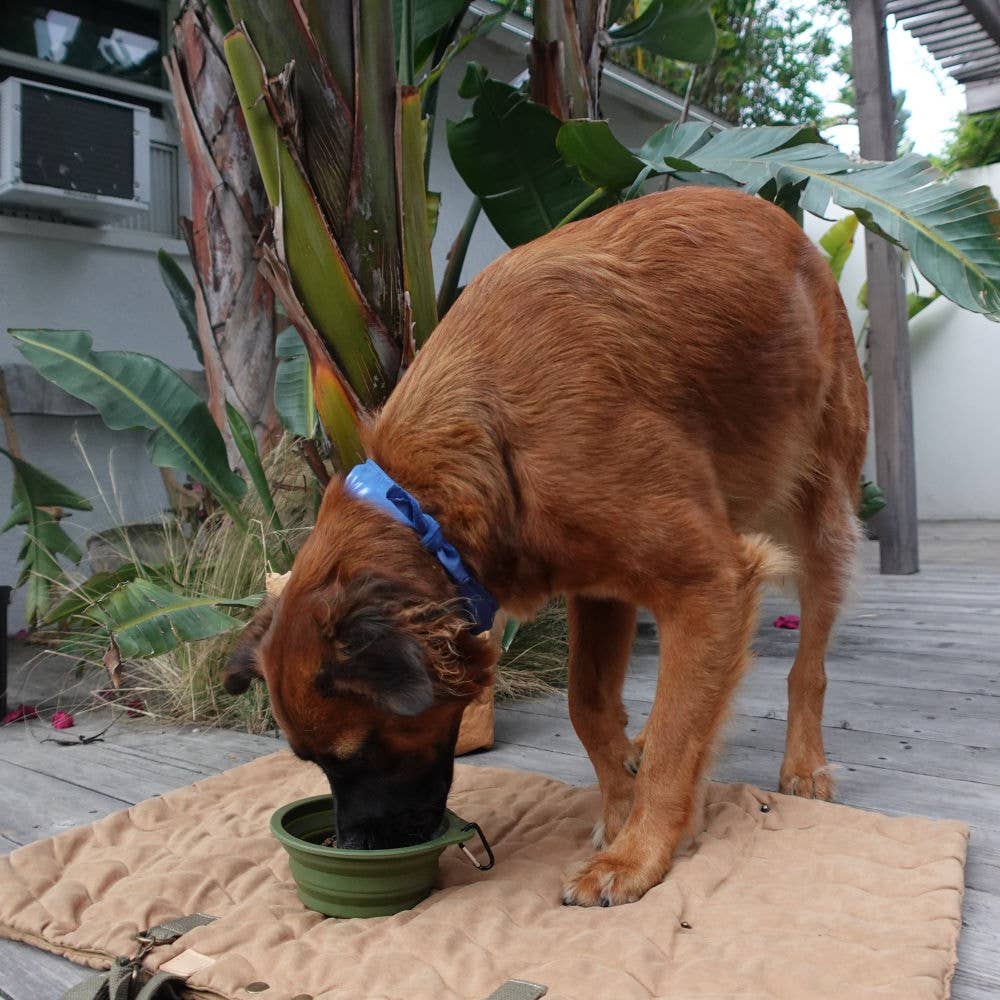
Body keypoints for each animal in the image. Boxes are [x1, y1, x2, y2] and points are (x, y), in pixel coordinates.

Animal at [227, 186, 868, 908]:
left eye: (358, 751)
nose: (354, 850)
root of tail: (792, 229)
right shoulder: (599, 586)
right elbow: (586, 704)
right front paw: (620, 807)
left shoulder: (709, 582)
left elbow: (677, 739)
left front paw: (637, 854)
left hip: (820, 515)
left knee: (808, 664)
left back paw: (805, 764)